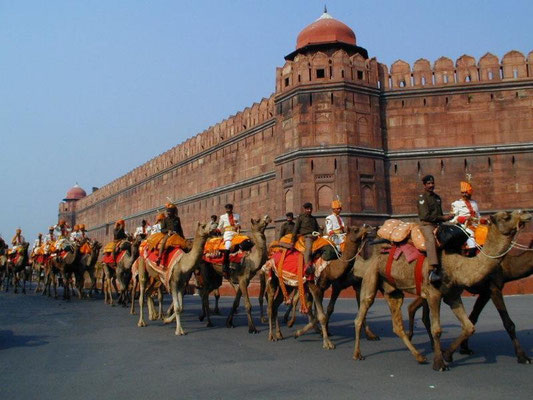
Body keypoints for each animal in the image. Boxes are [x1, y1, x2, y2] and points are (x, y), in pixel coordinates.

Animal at [352, 211, 528, 370]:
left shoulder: (453, 295)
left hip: (392, 289)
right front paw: (439, 363)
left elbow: (469, 327)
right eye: (506, 216)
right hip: (372, 275)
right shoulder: (434, 294)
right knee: (362, 312)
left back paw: (420, 356)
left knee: (397, 324)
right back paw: (358, 354)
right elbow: (437, 329)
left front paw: (448, 354)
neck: (457, 265)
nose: (526, 214)